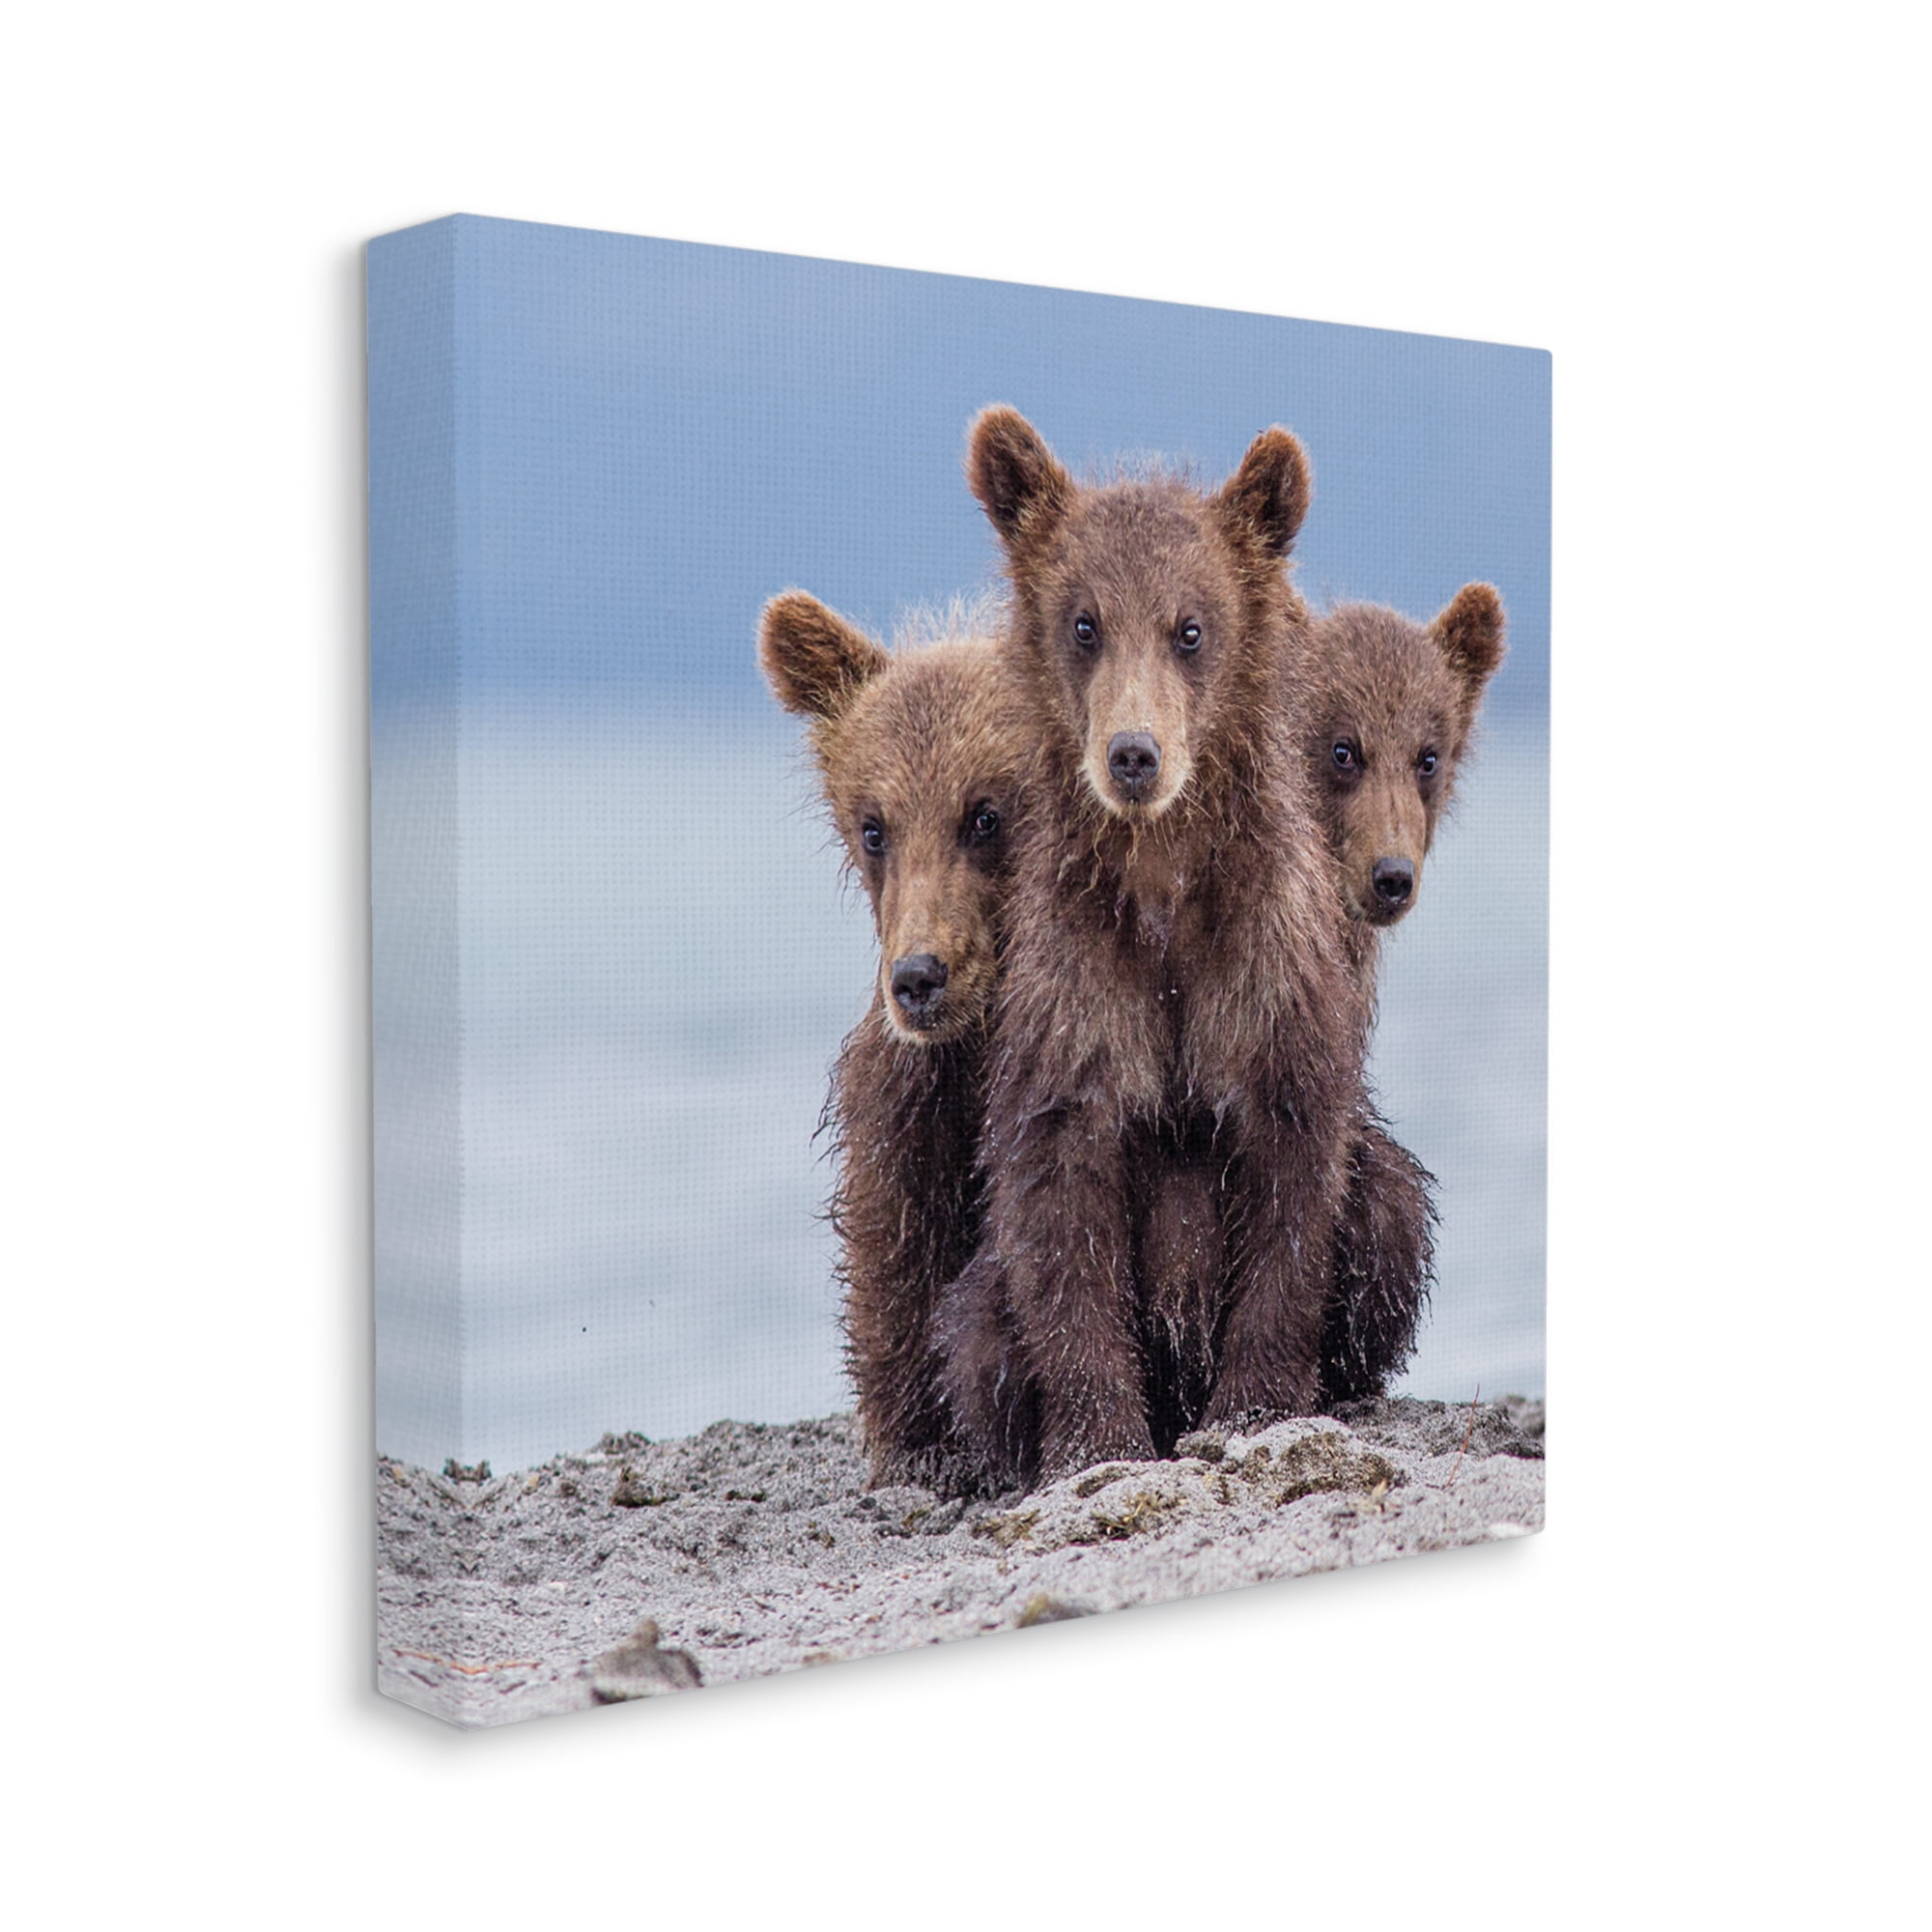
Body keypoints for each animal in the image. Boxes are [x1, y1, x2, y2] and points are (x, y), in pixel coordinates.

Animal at [758, 591, 1022, 1488]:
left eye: (985, 814)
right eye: (874, 827)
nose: (918, 977)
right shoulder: (911, 1098)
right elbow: (897, 1236)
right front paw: (919, 1441)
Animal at [957, 405, 1379, 1480]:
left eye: (1190, 627)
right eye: (1083, 622)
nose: (1133, 755)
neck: (1161, 886)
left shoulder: (1261, 966)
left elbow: (1290, 1181)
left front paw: (1253, 1404)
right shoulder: (1076, 983)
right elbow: (1059, 1201)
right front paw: (1093, 1437)